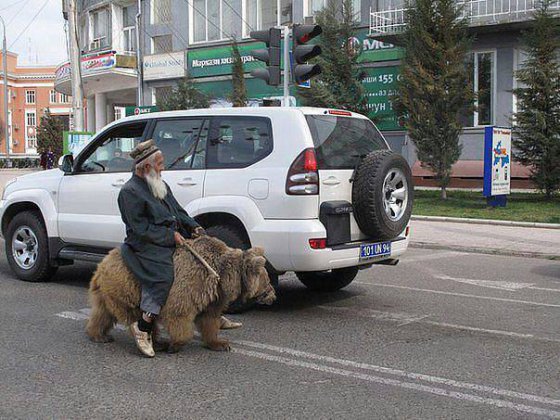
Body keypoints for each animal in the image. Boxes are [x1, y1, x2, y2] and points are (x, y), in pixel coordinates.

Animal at [85, 235, 276, 352]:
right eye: (268, 281)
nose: (273, 296)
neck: (220, 275)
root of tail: (101, 265)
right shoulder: (193, 283)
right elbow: (179, 313)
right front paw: (176, 344)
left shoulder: (213, 296)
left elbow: (209, 319)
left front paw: (221, 343)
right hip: (129, 287)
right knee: (134, 315)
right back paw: (149, 340)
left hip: (109, 291)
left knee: (102, 312)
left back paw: (99, 335)